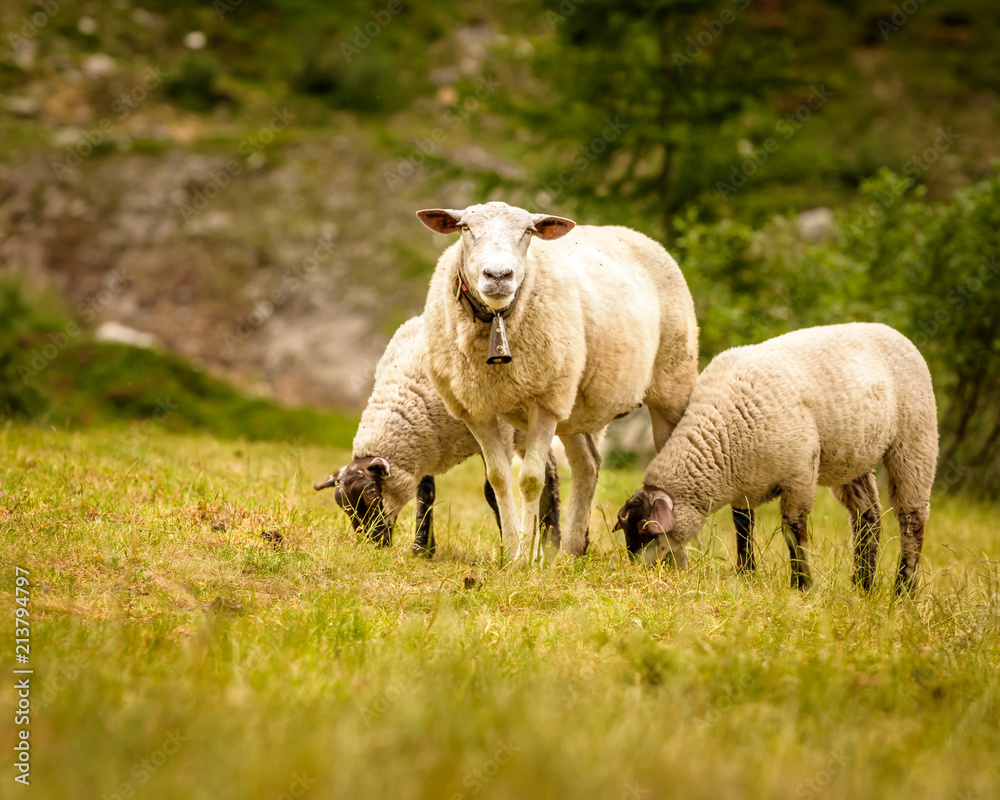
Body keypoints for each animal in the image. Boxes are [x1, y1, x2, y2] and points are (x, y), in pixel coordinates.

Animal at [314, 315, 560, 556]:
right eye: (344, 507)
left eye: (372, 494)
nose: (374, 543)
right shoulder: (425, 444)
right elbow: (426, 493)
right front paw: (422, 549)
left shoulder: (500, 432)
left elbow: (493, 491)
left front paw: (507, 549)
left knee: (550, 470)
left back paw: (553, 540)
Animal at [417, 201, 699, 561]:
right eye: (465, 228)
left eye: (528, 231)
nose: (499, 276)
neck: (497, 320)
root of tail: (636, 234)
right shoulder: (475, 409)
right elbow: (498, 480)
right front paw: (512, 553)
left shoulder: (545, 401)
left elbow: (530, 481)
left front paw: (525, 557)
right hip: (575, 405)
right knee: (588, 465)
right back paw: (571, 552)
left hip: (672, 385)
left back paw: (675, 558)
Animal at [614, 322, 938, 593]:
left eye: (645, 532)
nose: (641, 573)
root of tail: (892, 331)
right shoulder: (742, 484)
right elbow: (743, 527)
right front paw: (746, 572)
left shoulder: (799, 475)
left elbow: (793, 530)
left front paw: (802, 584)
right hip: (852, 455)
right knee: (867, 515)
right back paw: (863, 584)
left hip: (915, 441)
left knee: (912, 518)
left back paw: (903, 590)